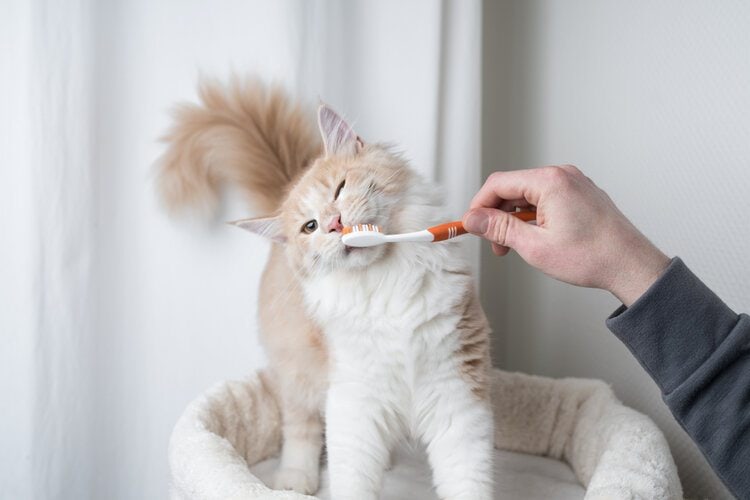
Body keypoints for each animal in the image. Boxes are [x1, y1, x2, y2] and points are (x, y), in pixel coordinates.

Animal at [159, 78, 496, 500]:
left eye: (340, 189)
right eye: (310, 227)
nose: (335, 224)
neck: (386, 281)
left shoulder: (456, 390)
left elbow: (466, 478)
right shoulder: (354, 399)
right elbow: (351, 476)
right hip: (297, 375)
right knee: (299, 429)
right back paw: (294, 480)